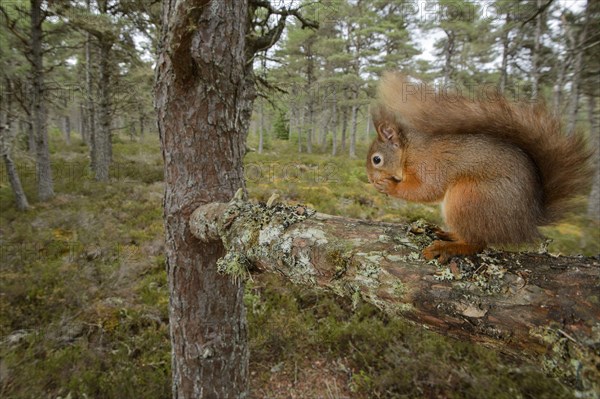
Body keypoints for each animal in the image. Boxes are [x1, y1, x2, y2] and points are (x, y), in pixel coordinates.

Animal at [366, 73, 592, 264]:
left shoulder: (429, 165)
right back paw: (448, 233)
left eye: (376, 159)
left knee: (477, 243)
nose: (370, 179)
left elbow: (426, 189)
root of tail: (527, 222)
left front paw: (388, 186)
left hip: (469, 198)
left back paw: (446, 247)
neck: (409, 151)